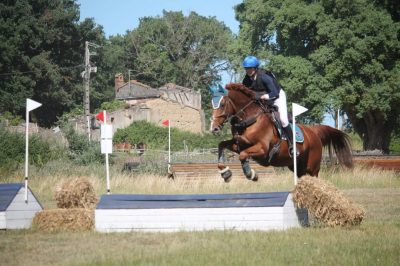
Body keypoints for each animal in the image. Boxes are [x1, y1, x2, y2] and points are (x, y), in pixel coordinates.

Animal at [209, 83, 354, 183]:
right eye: (211, 104)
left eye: (222, 104)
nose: (214, 128)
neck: (250, 119)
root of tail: (313, 132)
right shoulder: (238, 145)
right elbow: (222, 145)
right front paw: (226, 174)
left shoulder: (262, 149)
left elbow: (243, 155)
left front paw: (251, 175)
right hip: (297, 167)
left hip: (312, 167)